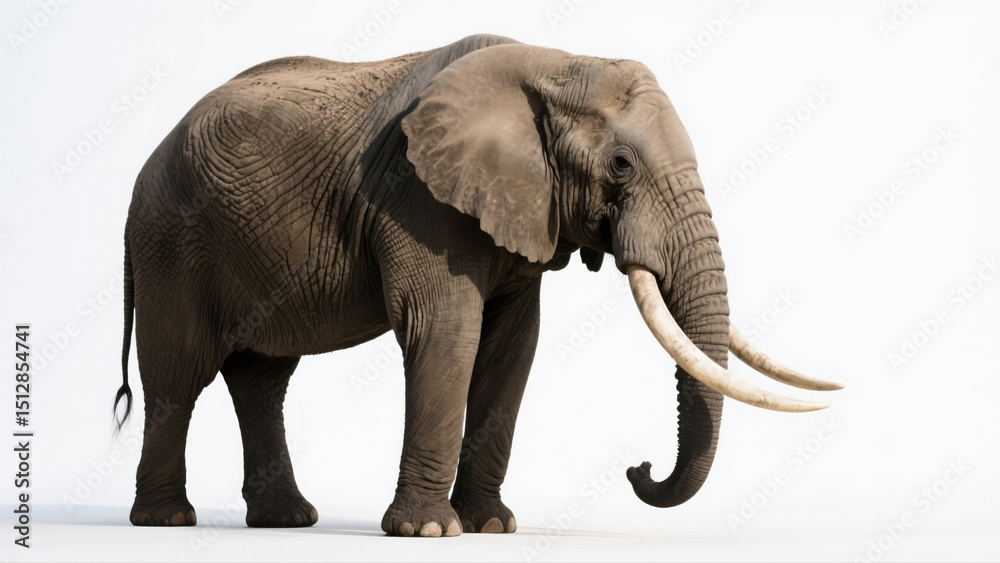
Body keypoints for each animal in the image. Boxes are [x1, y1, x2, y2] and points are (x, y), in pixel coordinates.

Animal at [114, 34, 841, 536]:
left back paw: (287, 520)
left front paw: (490, 526)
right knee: (178, 373)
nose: (638, 469)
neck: (554, 63)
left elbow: (512, 347)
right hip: (170, 243)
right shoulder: (420, 200)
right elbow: (445, 333)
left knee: (263, 378)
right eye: (621, 166)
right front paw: (430, 532)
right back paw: (167, 522)